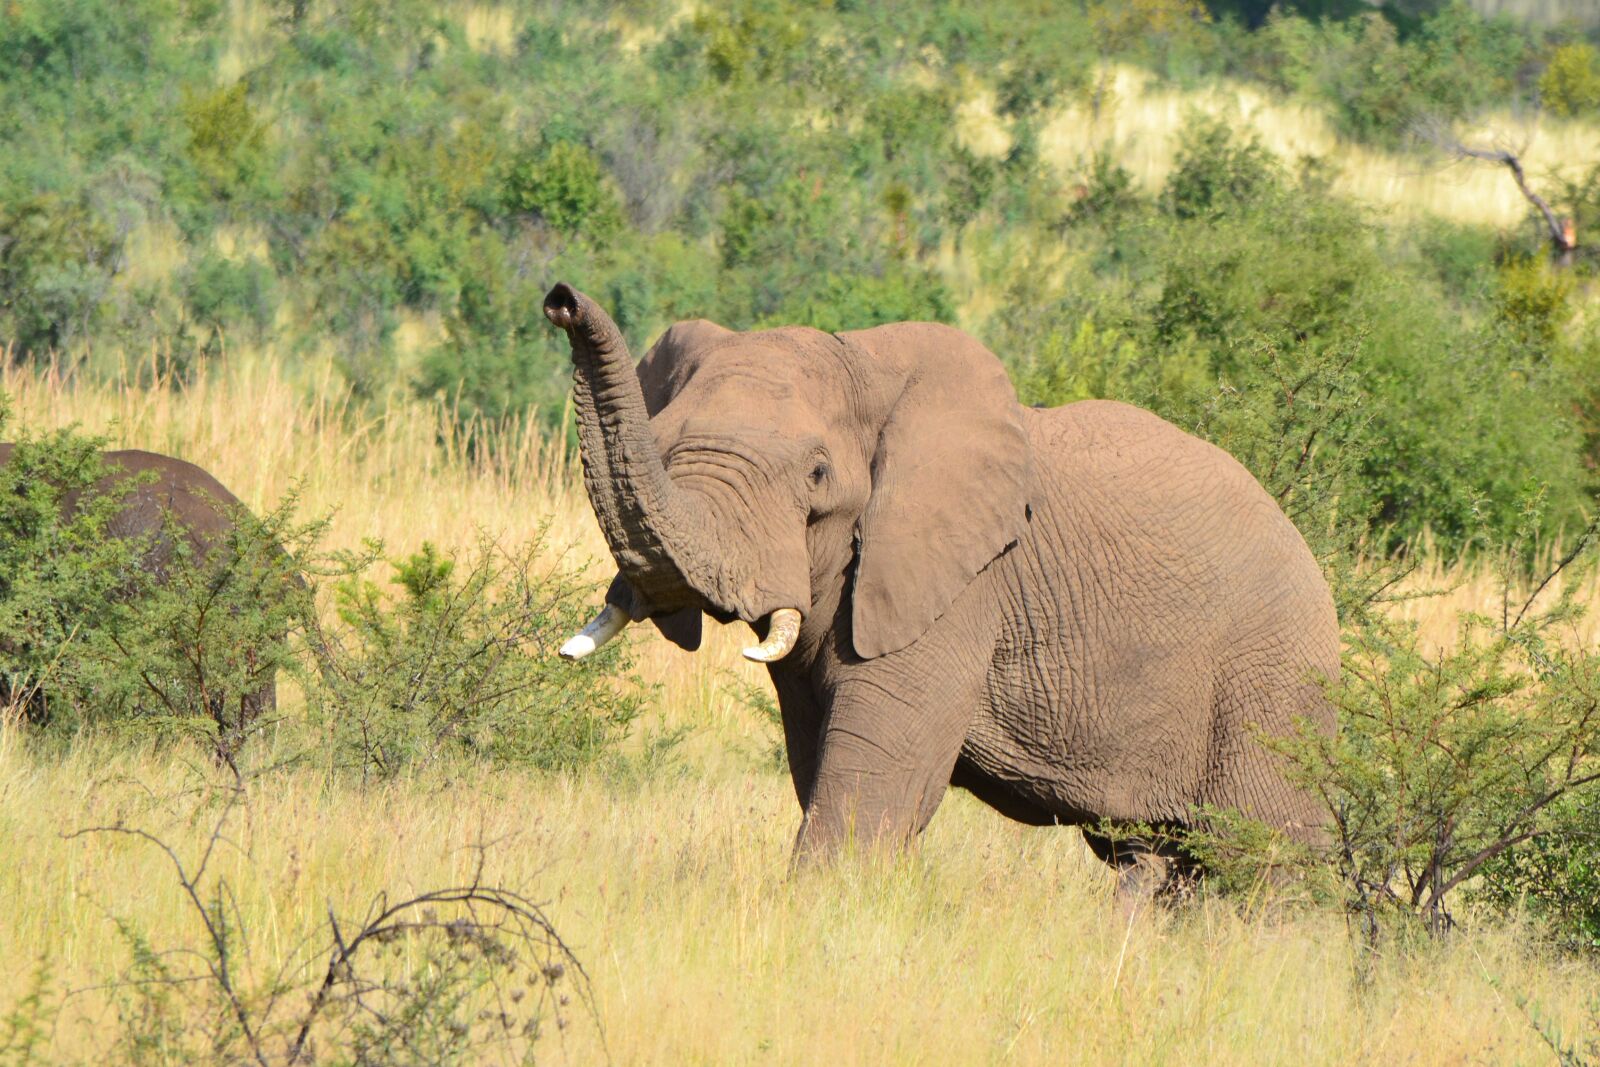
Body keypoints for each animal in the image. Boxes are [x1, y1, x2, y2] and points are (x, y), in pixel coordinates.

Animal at [544, 282, 1339, 897]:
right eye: (664, 444)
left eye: (817, 476)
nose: (561, 301)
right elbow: (820, 762)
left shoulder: (961, 590)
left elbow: (876, 782)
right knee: (1152, 862)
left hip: (1273, 687)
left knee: (1259, 864)